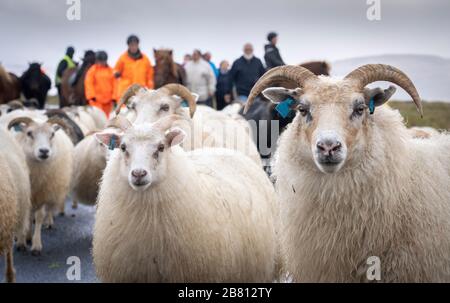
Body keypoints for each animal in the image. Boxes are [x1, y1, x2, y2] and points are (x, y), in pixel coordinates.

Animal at [5, 113, 74, 255]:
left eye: (52, 134)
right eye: (29, 133)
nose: (44, 151)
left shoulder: (44, 192)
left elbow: (39, 216)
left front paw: (36, 245)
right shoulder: (25, 194)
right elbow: (26, 215)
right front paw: (21, 241)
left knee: (46, 210)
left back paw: (46, 224)